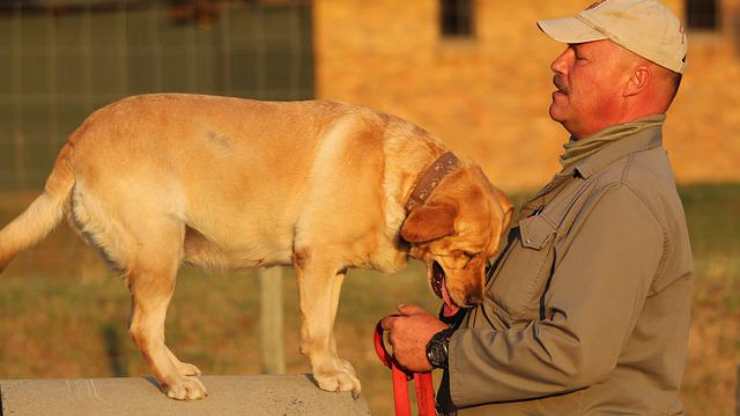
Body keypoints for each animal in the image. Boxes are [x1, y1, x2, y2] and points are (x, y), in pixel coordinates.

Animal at [0, 94, 512, 400]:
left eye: (489, 259)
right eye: (466, 255)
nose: (476, 302)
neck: (400, 177)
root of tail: (77, 141)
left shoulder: (334, 269)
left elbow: (326, 326)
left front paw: (333, 367)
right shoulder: (316, 261)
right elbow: (316, 329)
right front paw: (327, 374)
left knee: (151, 330)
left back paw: (178, 369)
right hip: (160, 255)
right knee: (143, 328)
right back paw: (173, 381)